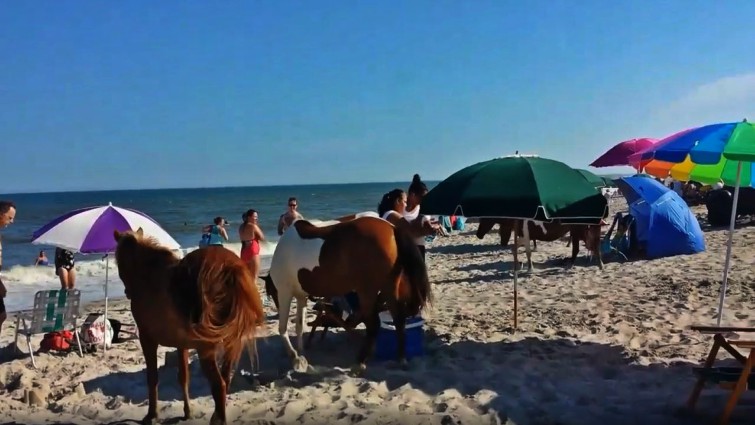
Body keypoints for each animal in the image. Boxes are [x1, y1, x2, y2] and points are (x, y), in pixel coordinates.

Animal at [113, 228, 265, 425]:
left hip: (206, 347)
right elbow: (183, 377)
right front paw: (187, 412)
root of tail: (230, 268)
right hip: (231, 342)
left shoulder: (147, 339)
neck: (149, 274)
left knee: (219, 385)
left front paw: (152, 414)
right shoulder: (182, 344)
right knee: (225, 379)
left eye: (119, 261)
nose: (128, 292)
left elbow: (152, 377)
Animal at [263, 213, 431, 373]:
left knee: (374, 325)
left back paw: (360, 362)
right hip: (388, 287)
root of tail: (392, 228)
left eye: (271, 293)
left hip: (367, 291)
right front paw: (301, 354)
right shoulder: (301, 296)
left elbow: (283, 328)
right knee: (398, 319)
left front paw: (294, 356)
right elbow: (299, 325)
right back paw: (401, 359)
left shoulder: (285, 292)